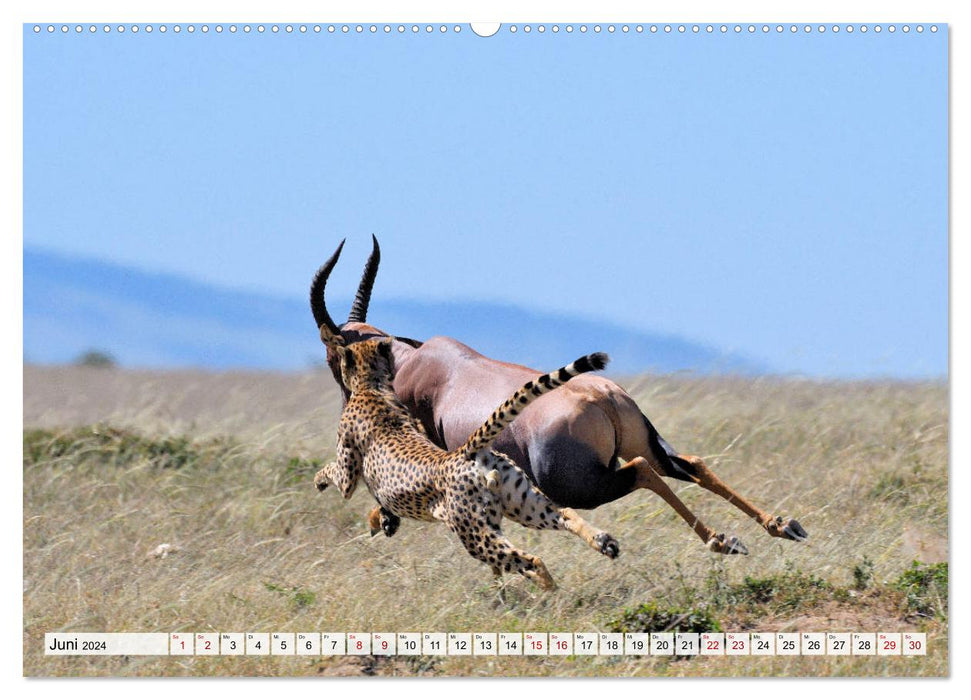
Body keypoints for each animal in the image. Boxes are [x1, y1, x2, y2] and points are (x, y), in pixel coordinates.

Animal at [310, 238, 804, 556]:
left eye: (331, 356)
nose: (346, 401)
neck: (419, 362)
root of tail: (601, 394)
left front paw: (382, 519)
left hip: (581, 485)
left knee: (642, 472)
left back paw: (720, 541)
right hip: (647, 444)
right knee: (690, 465)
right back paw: (779, 526)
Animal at [318, 336, 624, 588]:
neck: (374, 384)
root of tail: (465, 451)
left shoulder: (347, 473)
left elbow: (334, 474)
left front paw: (319, 481)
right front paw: (382, 521)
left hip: (472, 531)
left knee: (527, 559)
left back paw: (543, 593)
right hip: (523, 505)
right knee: (565, 515)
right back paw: (604, 543)